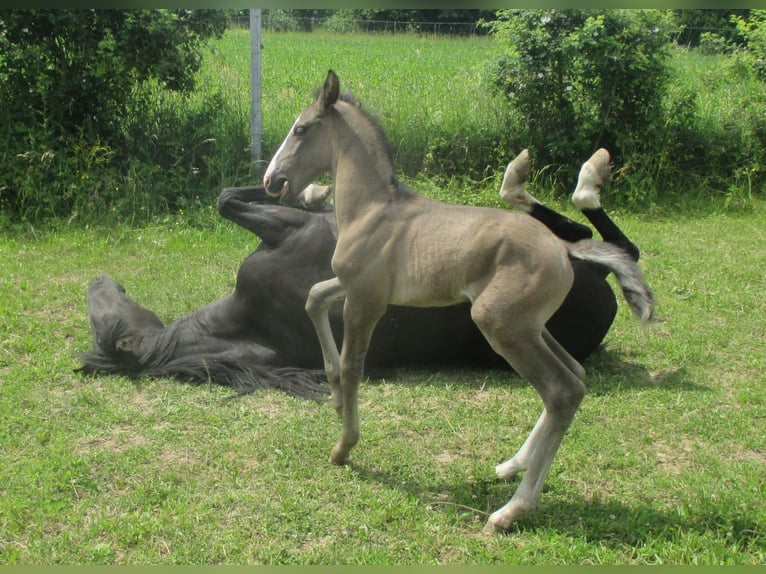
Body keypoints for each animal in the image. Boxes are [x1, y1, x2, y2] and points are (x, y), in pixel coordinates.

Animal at [76, 140, 640, 402]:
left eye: (102, 312)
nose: (97, 280)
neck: (249, 324)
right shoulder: (289, 232)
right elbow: (227, 198)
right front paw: (314, 188)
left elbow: (229, 196)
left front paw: (311, 187)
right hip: (564, 259)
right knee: (613, 243)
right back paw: (562, 178)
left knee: (601, 238)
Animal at [264, 71, 656, 536]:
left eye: (301, 129)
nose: (271, 181)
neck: (373, 210)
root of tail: (565, 251)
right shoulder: (350, 284)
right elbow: (313, 300)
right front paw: (336, 398)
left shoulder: (366, 300)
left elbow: (352, 366)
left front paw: (344, 447)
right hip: (532, 326)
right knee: (575, 375)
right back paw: (513, 464)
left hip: (499, 324)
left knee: (563, 391)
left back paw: (510, 510)